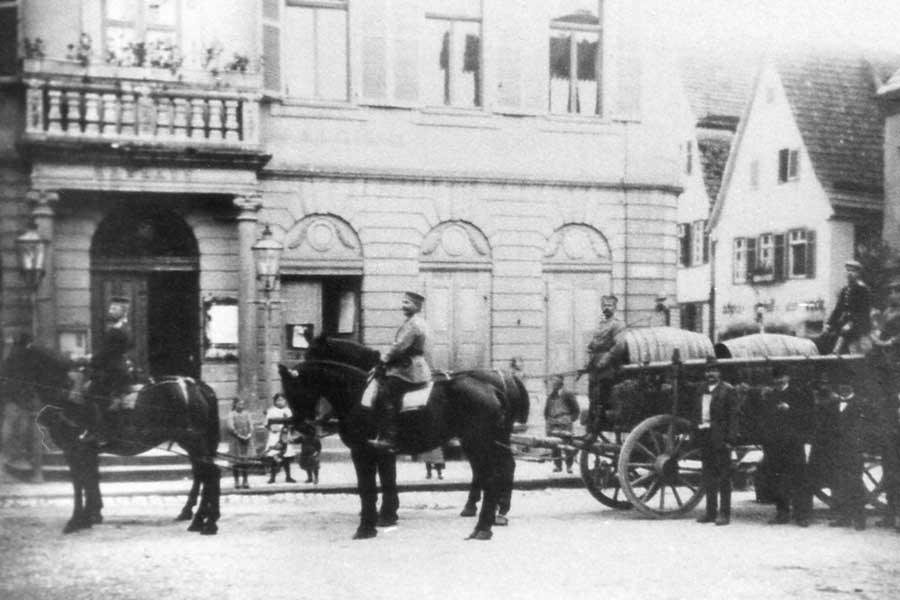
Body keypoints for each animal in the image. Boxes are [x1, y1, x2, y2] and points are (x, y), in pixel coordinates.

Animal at [0, 342, 223, 536]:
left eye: (11, 359)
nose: (6, 394)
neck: (66, 395)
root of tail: (195, 385)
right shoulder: (88, 450)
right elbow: (90, 480)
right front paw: (91, 515)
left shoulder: (75, 449)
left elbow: (80, 482)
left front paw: (76, 520)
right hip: (193, 443)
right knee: (202, 473)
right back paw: (197, 517)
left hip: (193, 440)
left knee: (211, 473)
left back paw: (207, 523)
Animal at [276, 338, 528, 540]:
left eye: (293, 389)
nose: (302, 427)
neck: (358, 392)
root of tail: (495, 387)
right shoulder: (381, 451)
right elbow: (386, 481)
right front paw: (384, 516)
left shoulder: (364, 451)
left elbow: (369, 487)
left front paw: (370, 524)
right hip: (483, 441)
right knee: (489, 472)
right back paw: (485, 516)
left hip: (481, 441)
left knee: (496, 473)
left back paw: (487, 523)